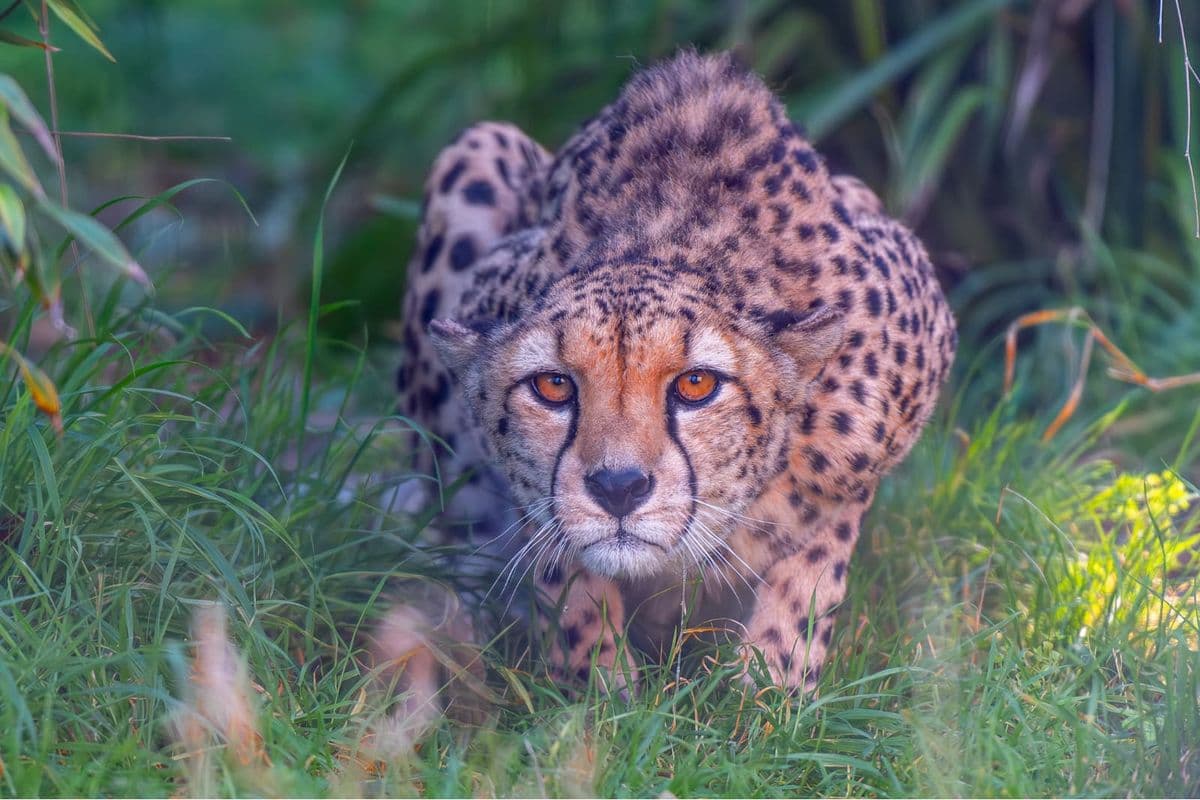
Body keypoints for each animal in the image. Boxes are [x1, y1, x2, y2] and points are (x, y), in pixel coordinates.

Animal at [395, 50, 957, 693]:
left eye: (696, 384)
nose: (619, 489)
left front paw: (771, 691)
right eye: (553, 386)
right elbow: (563, 570)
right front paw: (595, 692)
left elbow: (813, 563)